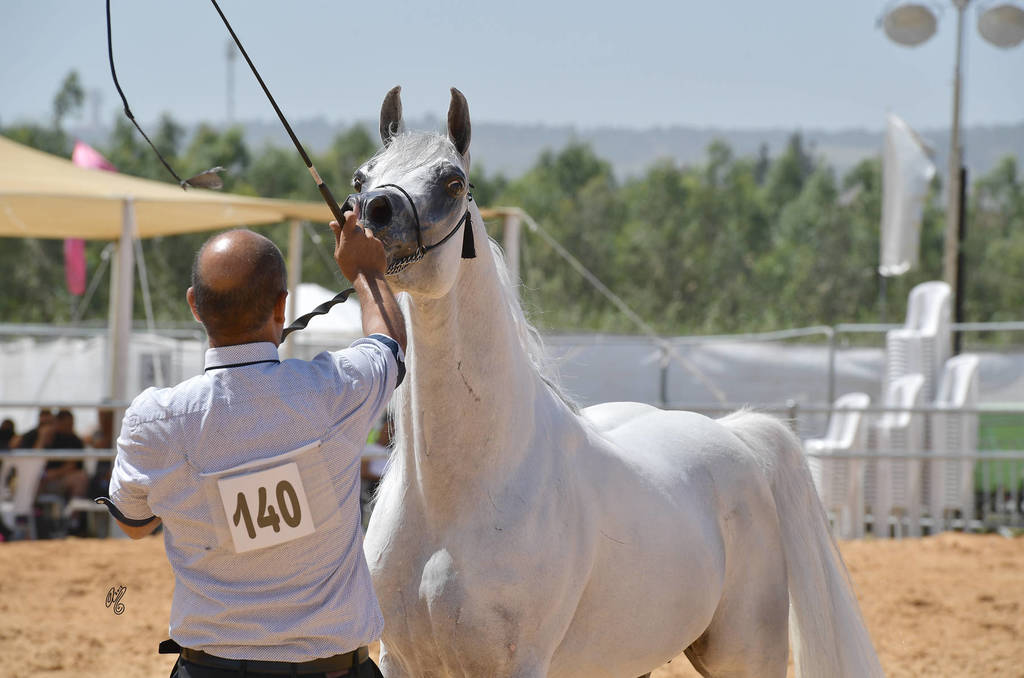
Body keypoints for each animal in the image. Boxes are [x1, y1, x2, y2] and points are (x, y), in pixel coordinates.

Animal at [355, 86, 883, 678]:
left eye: (452, 182)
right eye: (361, 177)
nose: (372, 213)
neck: (455, 496)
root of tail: (735, 435)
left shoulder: (519, 665)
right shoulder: (400, 660)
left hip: (745, 655)